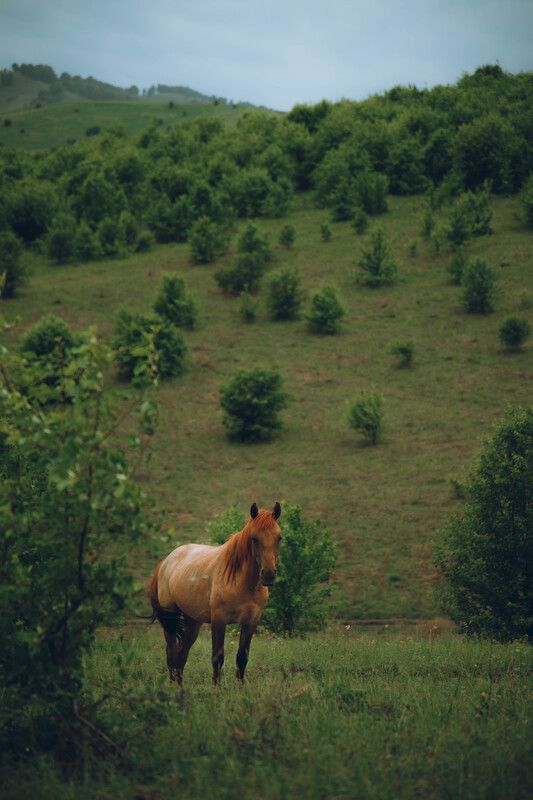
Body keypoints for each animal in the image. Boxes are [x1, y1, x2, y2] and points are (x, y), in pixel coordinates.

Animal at [147, 501, 282, 685]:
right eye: (254, 539)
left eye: (279, 538)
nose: (268, 575)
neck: (241, 582)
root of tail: (166, 560)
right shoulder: (219, 619)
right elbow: (217, 657)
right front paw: (216, 688)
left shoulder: (251, 621)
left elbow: (242, 657)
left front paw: (241, 687)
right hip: (170, 619)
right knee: (172, 652)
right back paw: (172, 685)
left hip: (193, 622)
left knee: (182, 654)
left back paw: (180, 687)